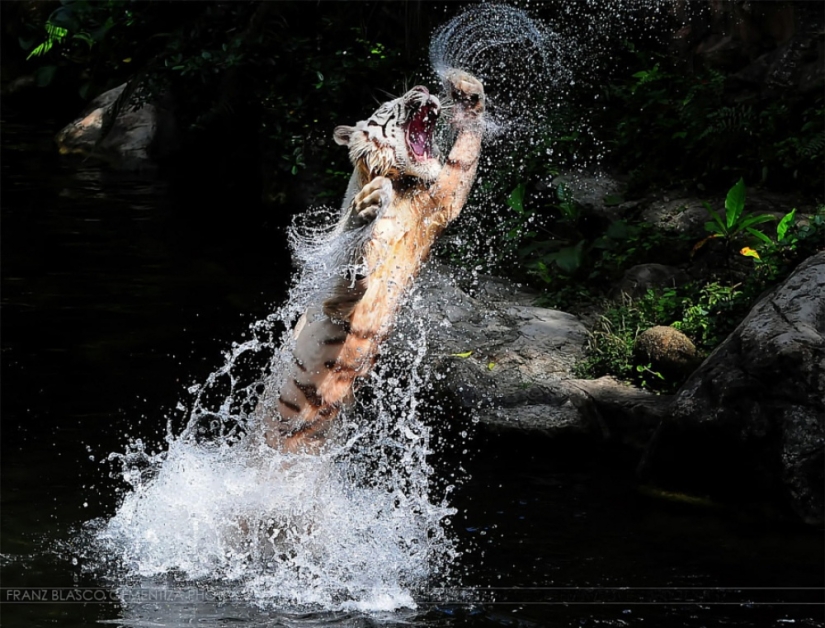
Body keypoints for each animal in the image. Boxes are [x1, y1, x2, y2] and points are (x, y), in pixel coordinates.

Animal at [259, 70, 485, 454]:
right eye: (387, 105)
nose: (422, 87)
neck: (404, 188)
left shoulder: (441, 202)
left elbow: (462, 160)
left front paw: (469, 88)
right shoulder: (332, 297)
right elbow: (349, 258)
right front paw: (366, 205)